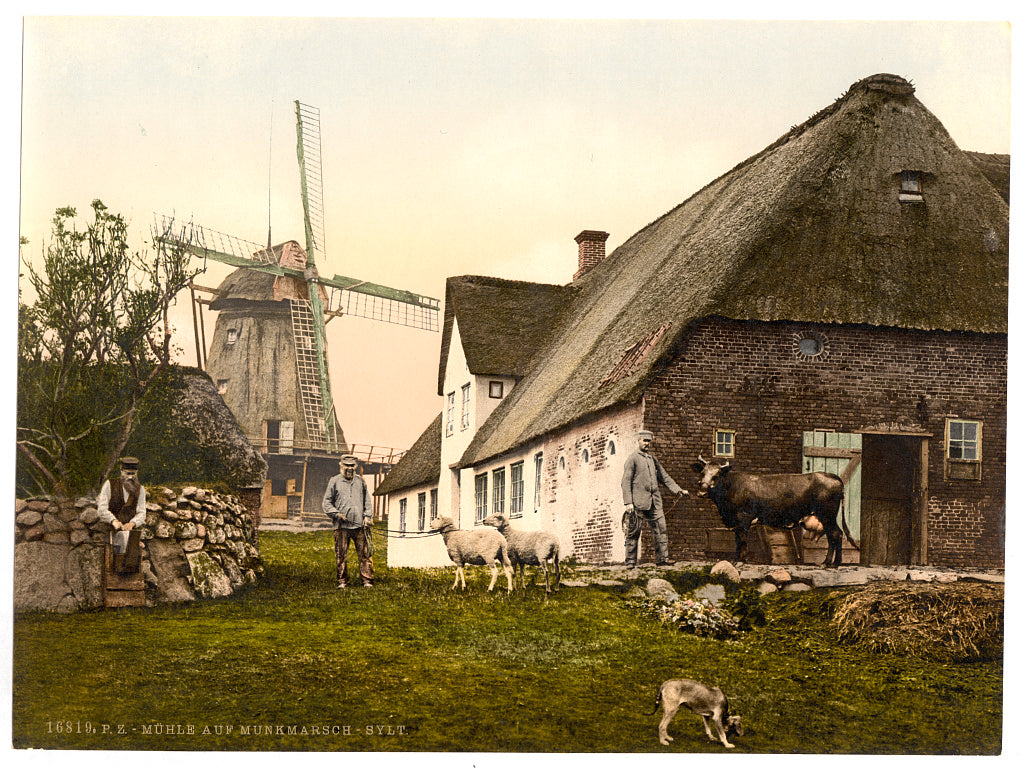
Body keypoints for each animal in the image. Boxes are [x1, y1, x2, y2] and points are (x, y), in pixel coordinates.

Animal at [696, 454, 847, 569]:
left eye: (716, 475)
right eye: (702, 473)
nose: (702, 492)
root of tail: (831, 476)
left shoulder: (744, 517)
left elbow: (742, 539)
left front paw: (741, 560)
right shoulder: (736, 522)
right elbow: (737, 540)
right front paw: (736, 559)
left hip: (827, 515)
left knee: (835, 534)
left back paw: (832, 563)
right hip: (826, 517)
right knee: (833, 535)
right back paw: (829, 562)